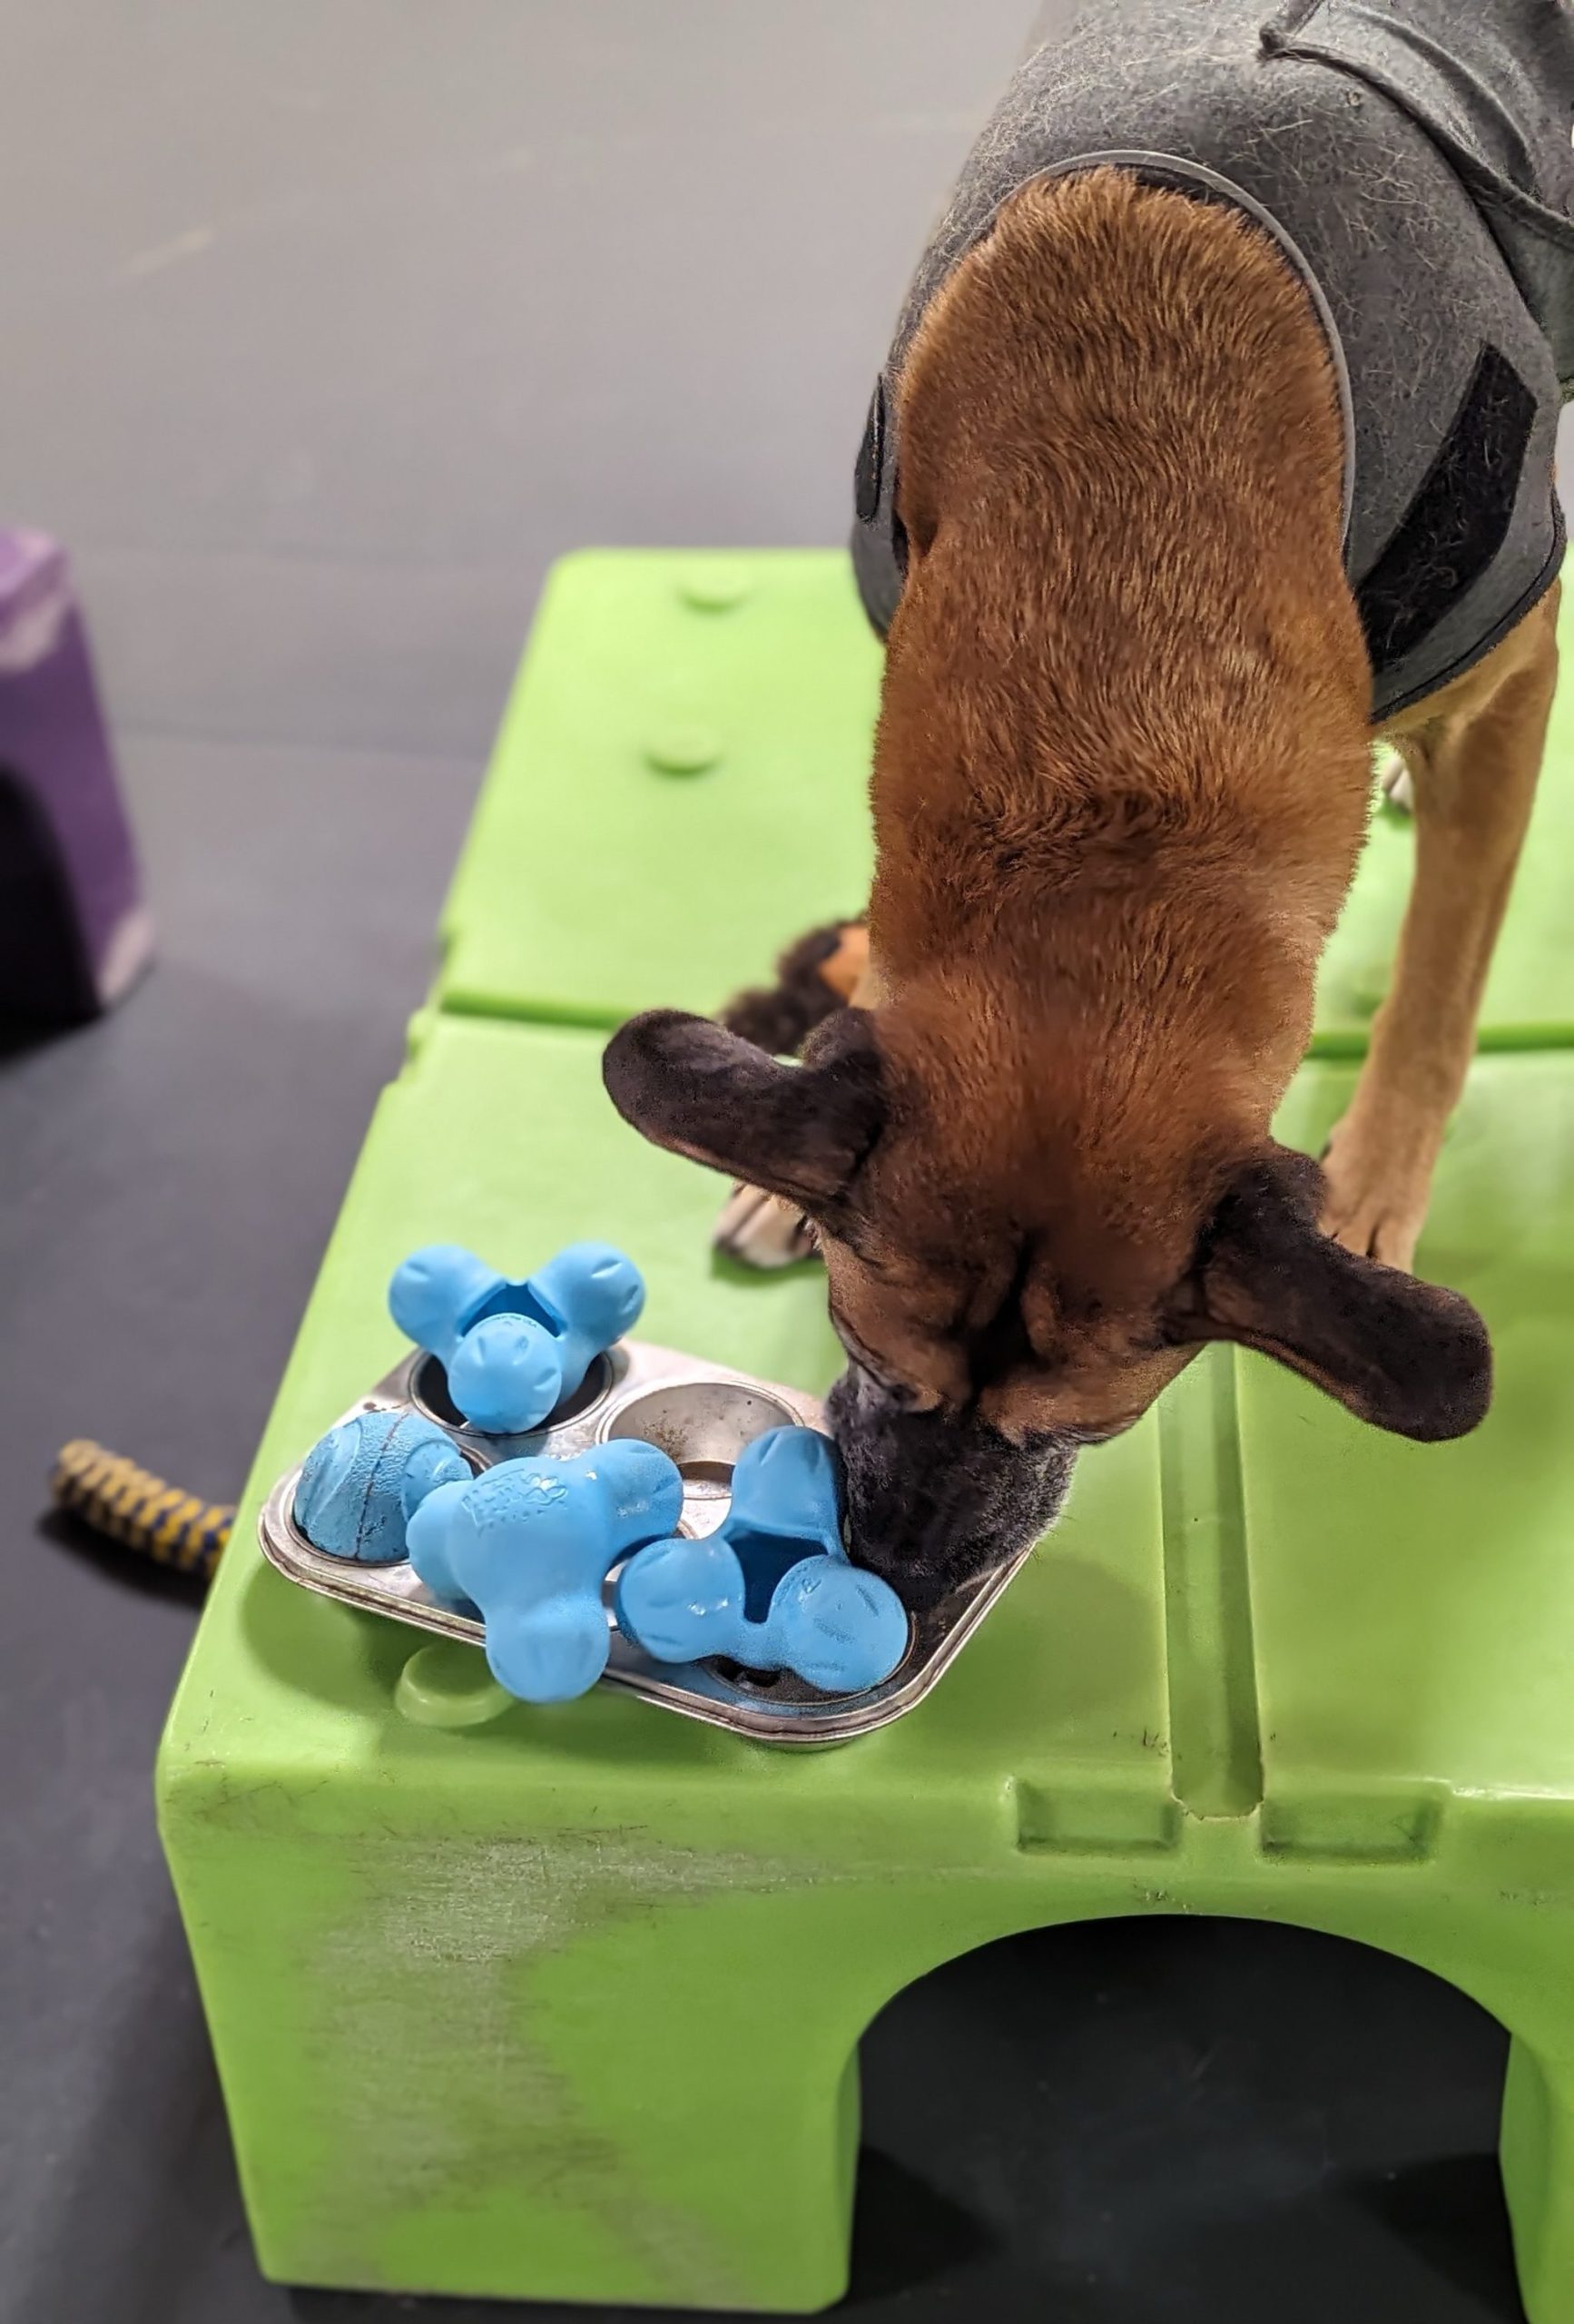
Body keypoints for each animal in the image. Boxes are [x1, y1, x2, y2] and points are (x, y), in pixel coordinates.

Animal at [604, 172, 1562, 1608]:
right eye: (865, 1352)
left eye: (1083, 1431)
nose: (899, 1563)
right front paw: (786, 1141)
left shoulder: (1505, 688)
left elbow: (1441, 983)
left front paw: (1374, 1187)